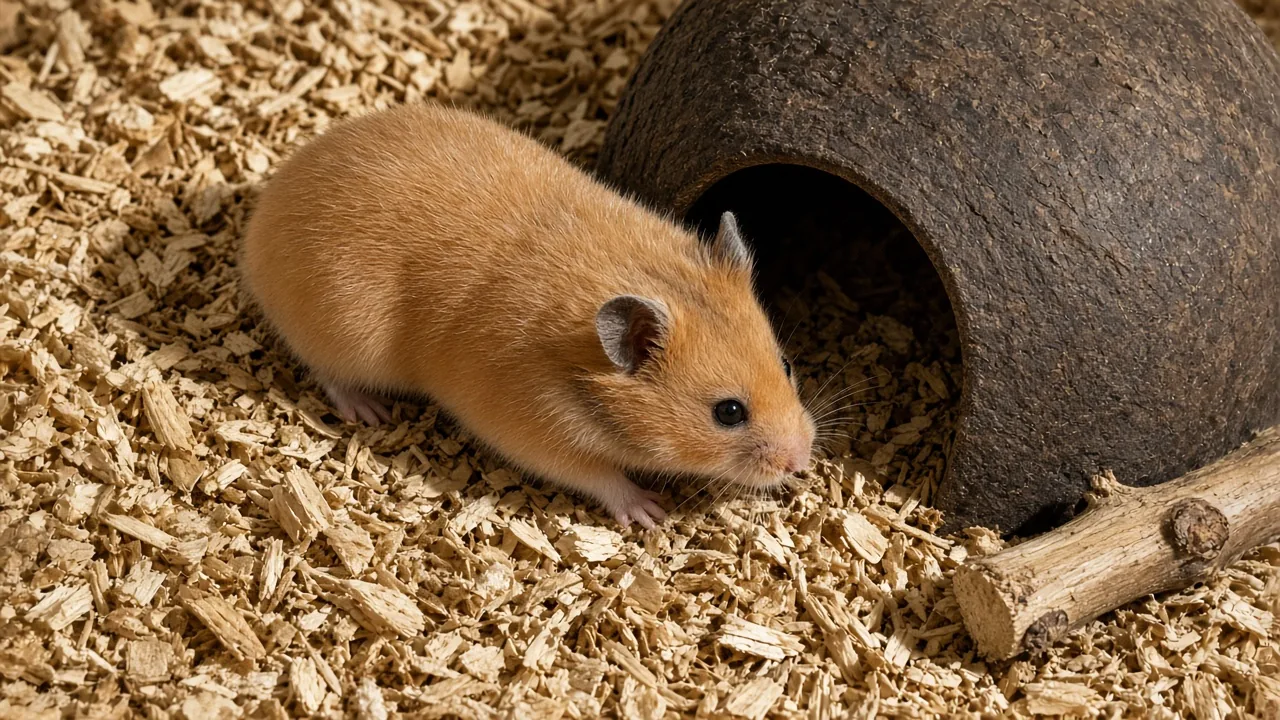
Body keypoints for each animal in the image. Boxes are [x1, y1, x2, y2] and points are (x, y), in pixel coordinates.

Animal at [239, 103, 815, 528]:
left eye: (787, 366)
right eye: (729, 413)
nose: (802, 461)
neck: (586, 378)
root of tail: (264, 213)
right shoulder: (540, 433)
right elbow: (602, 478)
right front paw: (651, 512)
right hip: (342, 335)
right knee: (329, 376)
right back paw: (370, 411)